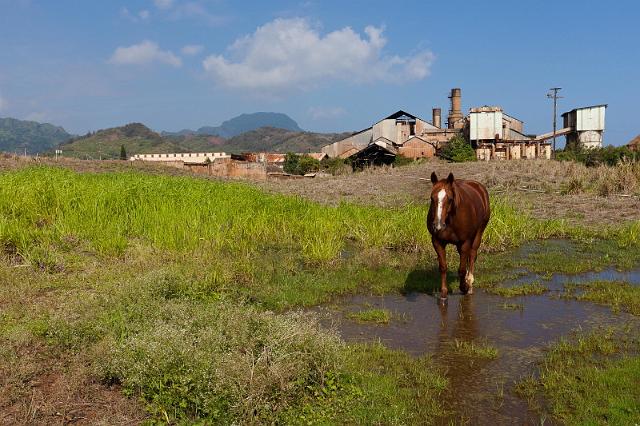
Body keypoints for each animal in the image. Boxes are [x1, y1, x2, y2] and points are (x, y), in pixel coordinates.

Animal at [430, 171, 490, 302]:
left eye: (450, 199)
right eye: (432, 198)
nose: (438, 225)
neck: (450, 220)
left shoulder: (465, 242)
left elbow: (462, 269)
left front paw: (464, 287)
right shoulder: (437, 242)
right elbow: (443, 267)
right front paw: (443, 294)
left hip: (478, 233)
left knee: (472, 255)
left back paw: (470, 283)